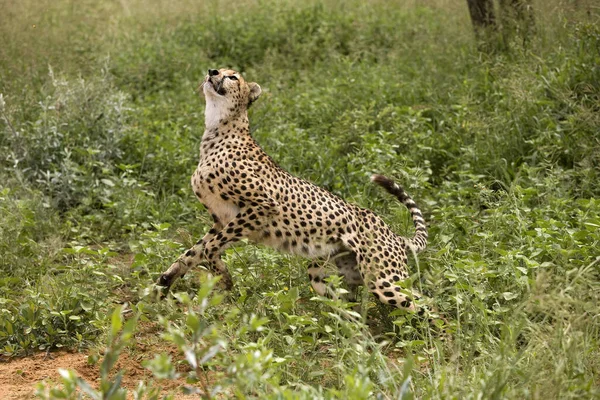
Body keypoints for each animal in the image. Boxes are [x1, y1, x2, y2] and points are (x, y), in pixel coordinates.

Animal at [158, 68, 432, 312]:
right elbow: (192, 252)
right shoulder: (220, 219)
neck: (218, 127)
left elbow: (208, 249)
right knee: (348, 307)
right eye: (220, 69)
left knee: (427, 306)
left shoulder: (261, 207)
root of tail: (393, 233)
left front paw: (223, 277)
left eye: (233, 76)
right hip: (328, 274)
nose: (212, 71)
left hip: (383, 279)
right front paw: (165, 281)